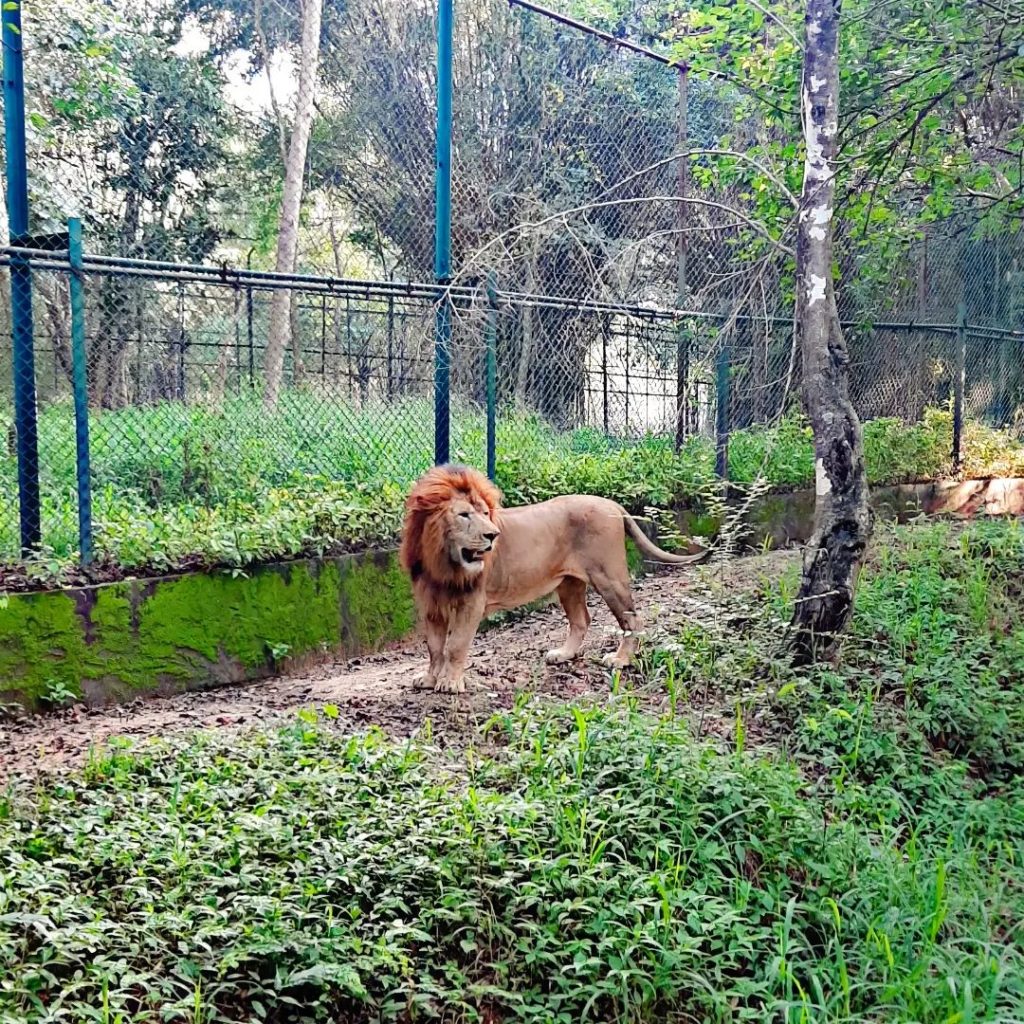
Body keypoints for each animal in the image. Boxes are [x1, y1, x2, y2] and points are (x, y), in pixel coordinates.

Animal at [401, 466, 712, 696]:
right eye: (464, 515)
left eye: (485, 513)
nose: (492, 535)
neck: (442, 561)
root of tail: (612, 503)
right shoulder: (431, 605)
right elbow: (434, 647)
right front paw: (429, 678)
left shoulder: (472, 602)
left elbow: (455, 645)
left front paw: (450, 683)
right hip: (569, 583)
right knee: (581, 620)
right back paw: (564, 654)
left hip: (608, 577)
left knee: (632, 620)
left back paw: (621, 660)